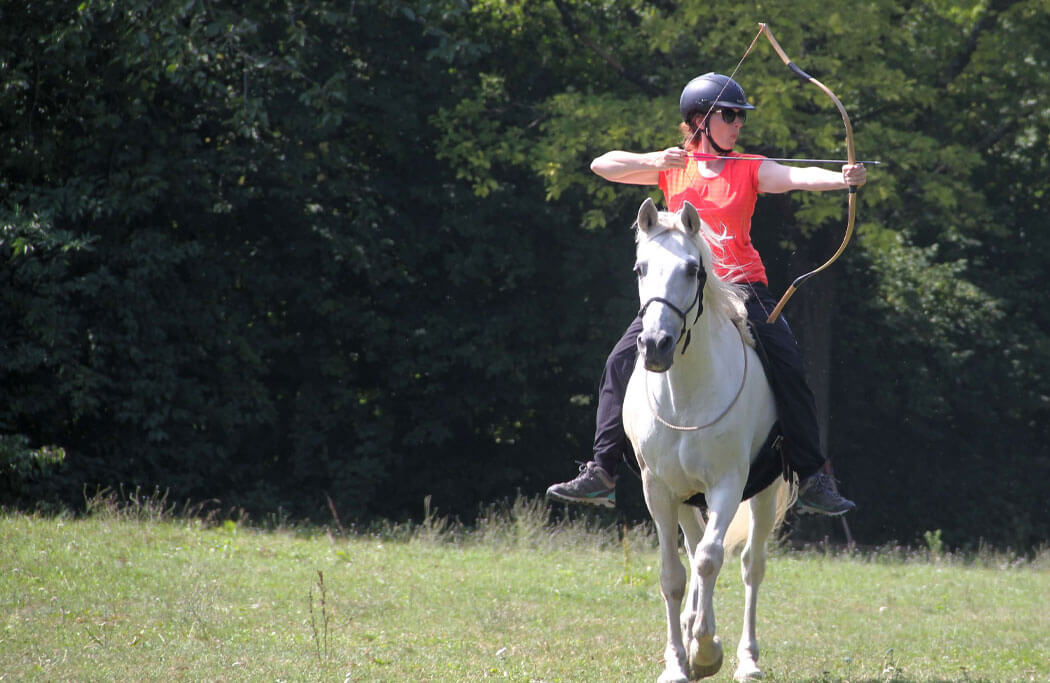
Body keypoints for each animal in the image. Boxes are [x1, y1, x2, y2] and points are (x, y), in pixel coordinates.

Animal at [621, 198, 789, 680]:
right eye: (640, 268)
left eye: (693, 269)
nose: (655, 345)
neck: (686, 395)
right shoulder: (658, 489)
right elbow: (673, 575)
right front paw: (679, 661)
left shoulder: (728, 483)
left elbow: (712, 559)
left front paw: (706, 651)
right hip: (686, 498)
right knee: (695, 552)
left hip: (763, 491)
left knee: (750, 564)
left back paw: (746, 660)